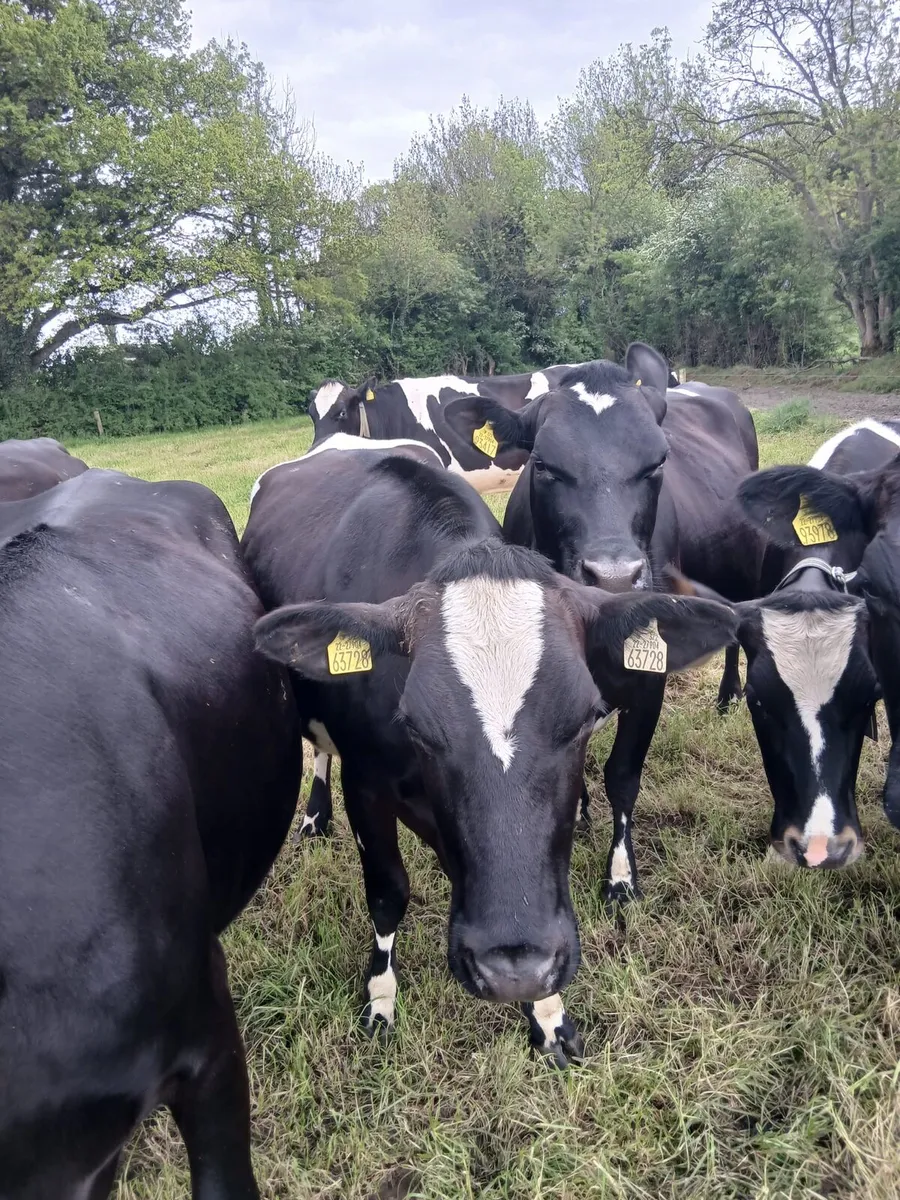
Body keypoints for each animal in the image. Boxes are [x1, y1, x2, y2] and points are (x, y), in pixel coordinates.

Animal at [242, 436, 736, 1065]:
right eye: (417, 725)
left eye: (586, 717)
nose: (513, 969)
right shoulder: (367, 785)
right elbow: (388, 893)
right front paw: (380, 999)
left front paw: (547, 1017)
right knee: (322, 750)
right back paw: (314, 814)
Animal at [440, 343, 759, 900]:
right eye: (543, 464)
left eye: (658, 462)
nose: (613, 577)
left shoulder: (648, 676)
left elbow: (623, 775)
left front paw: (621, 875)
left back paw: (727, 695)